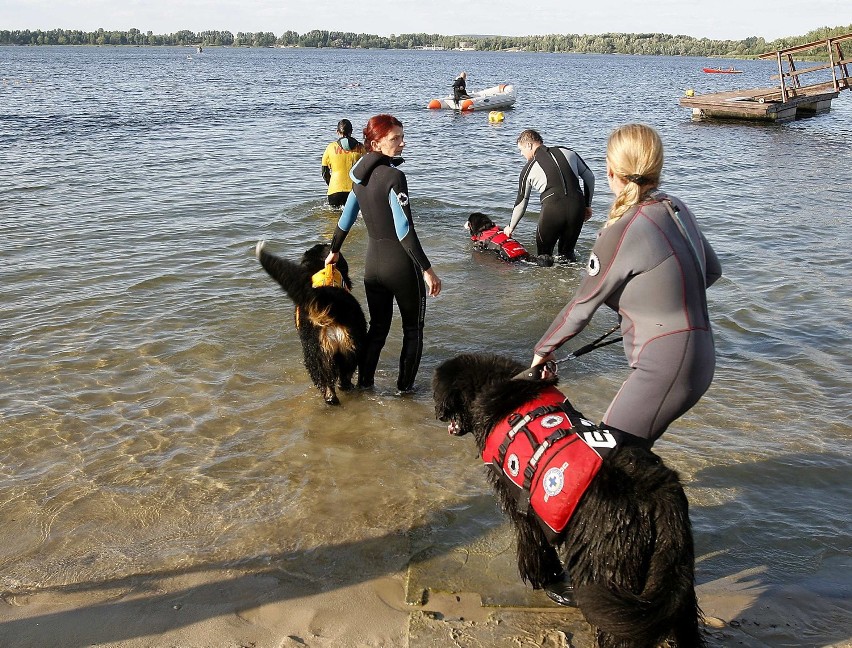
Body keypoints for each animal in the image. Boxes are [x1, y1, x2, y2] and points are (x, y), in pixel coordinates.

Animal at [432, 354, 704, 648]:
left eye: (438, 394)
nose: (437, 413)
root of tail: (660, 494)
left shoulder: (519, 502)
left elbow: (533, 543)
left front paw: (543, 579)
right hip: (671, 575)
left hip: (608, 566)